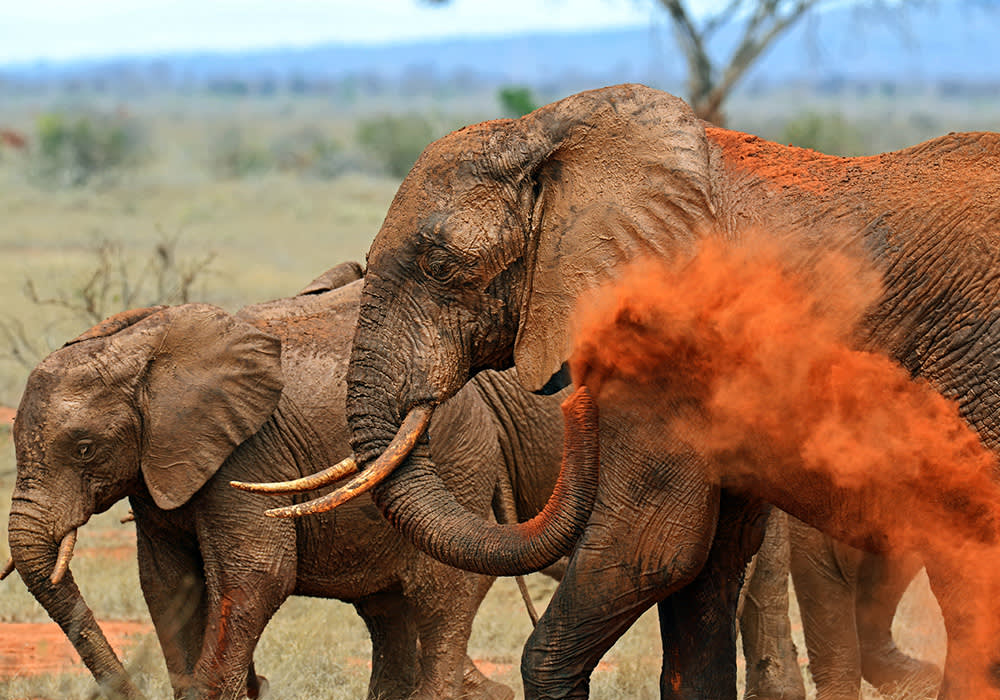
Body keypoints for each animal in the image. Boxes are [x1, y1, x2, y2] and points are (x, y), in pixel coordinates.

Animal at [5, 264, 580, 700]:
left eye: (84, 449)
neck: (139, 351)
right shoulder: (156, 470)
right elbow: (167, 583)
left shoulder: (246, 455)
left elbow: (257, 577)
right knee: (387, 611)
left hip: (457, 459)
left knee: (438, 596)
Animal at [264, 85, 1000, 696]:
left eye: (440, 266)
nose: (574, 398)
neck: (554, 135)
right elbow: (703, 566)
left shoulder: (664, 346)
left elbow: (652, 548)